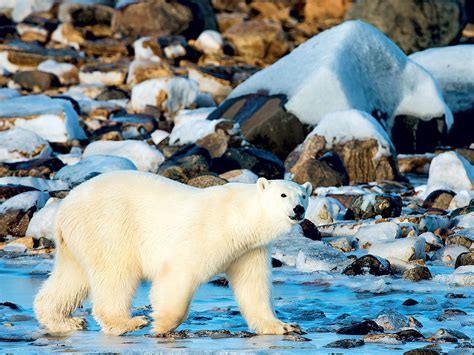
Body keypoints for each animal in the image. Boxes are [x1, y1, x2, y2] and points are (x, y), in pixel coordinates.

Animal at [35, 172, 312, 336]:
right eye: (283, 194)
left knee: (72, 277)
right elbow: (179, 273)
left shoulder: (249, 249)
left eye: (304, 195)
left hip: (77, 241)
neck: (240, 216)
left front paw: (284, 326)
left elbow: (253, 287)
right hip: (108, 227)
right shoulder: (210, 231)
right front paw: (162, 324)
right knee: (116, 273)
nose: (298, 209)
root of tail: (64, 208)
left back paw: (63, 321)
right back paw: (128, 322)